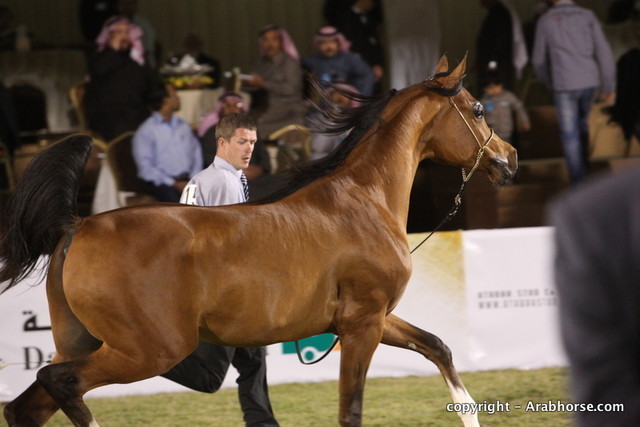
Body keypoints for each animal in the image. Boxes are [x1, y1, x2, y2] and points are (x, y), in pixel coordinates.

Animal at [0, 55, 516, 427]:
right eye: (478, 109)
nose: (509, 158)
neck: (365, 200)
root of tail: (77, 226)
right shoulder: (363, 325)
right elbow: (351, 411)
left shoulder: (372, 319)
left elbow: (438, 347)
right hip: (149, 349)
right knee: (60, 382)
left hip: (85, 342)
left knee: (27, 405)